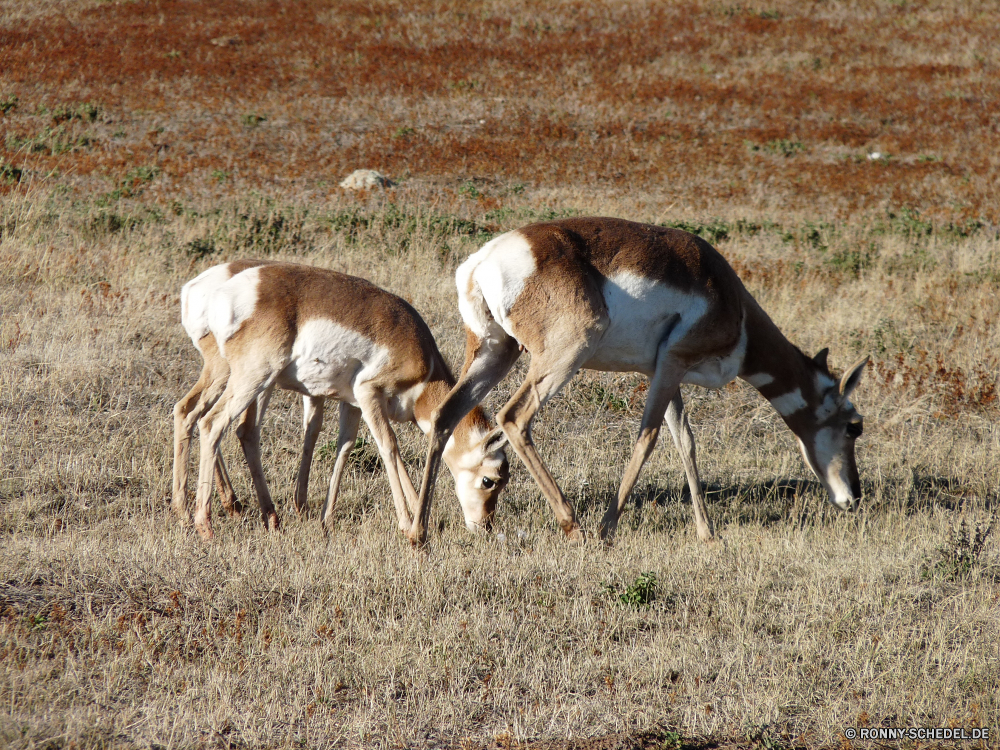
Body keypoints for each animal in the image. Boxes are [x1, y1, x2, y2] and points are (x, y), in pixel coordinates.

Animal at [188, 262, 508, 540]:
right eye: (489, 480)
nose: (485, 527)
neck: (424, 364)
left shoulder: (352, 404)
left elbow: (345, 447)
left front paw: (327, 521)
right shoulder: (368, 394)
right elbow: (389, 447)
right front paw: (408, 525)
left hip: (255, 384)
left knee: (237, 430)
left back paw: (271, 519)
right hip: (252, 380)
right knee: (211, 423)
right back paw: (205, 526)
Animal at [406, 217, 868, 548]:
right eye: (854, 426)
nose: (854, 497)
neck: (732, 302)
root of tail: (485, 259)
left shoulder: (664, 373)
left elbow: (686, 442)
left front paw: (708, 534)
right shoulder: (672, 366)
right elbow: (648, 438)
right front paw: (607, 529)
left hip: (495, 352)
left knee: (446, 414)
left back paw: (417, 533)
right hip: (562, 355)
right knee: (514, 417)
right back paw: (575, 527)